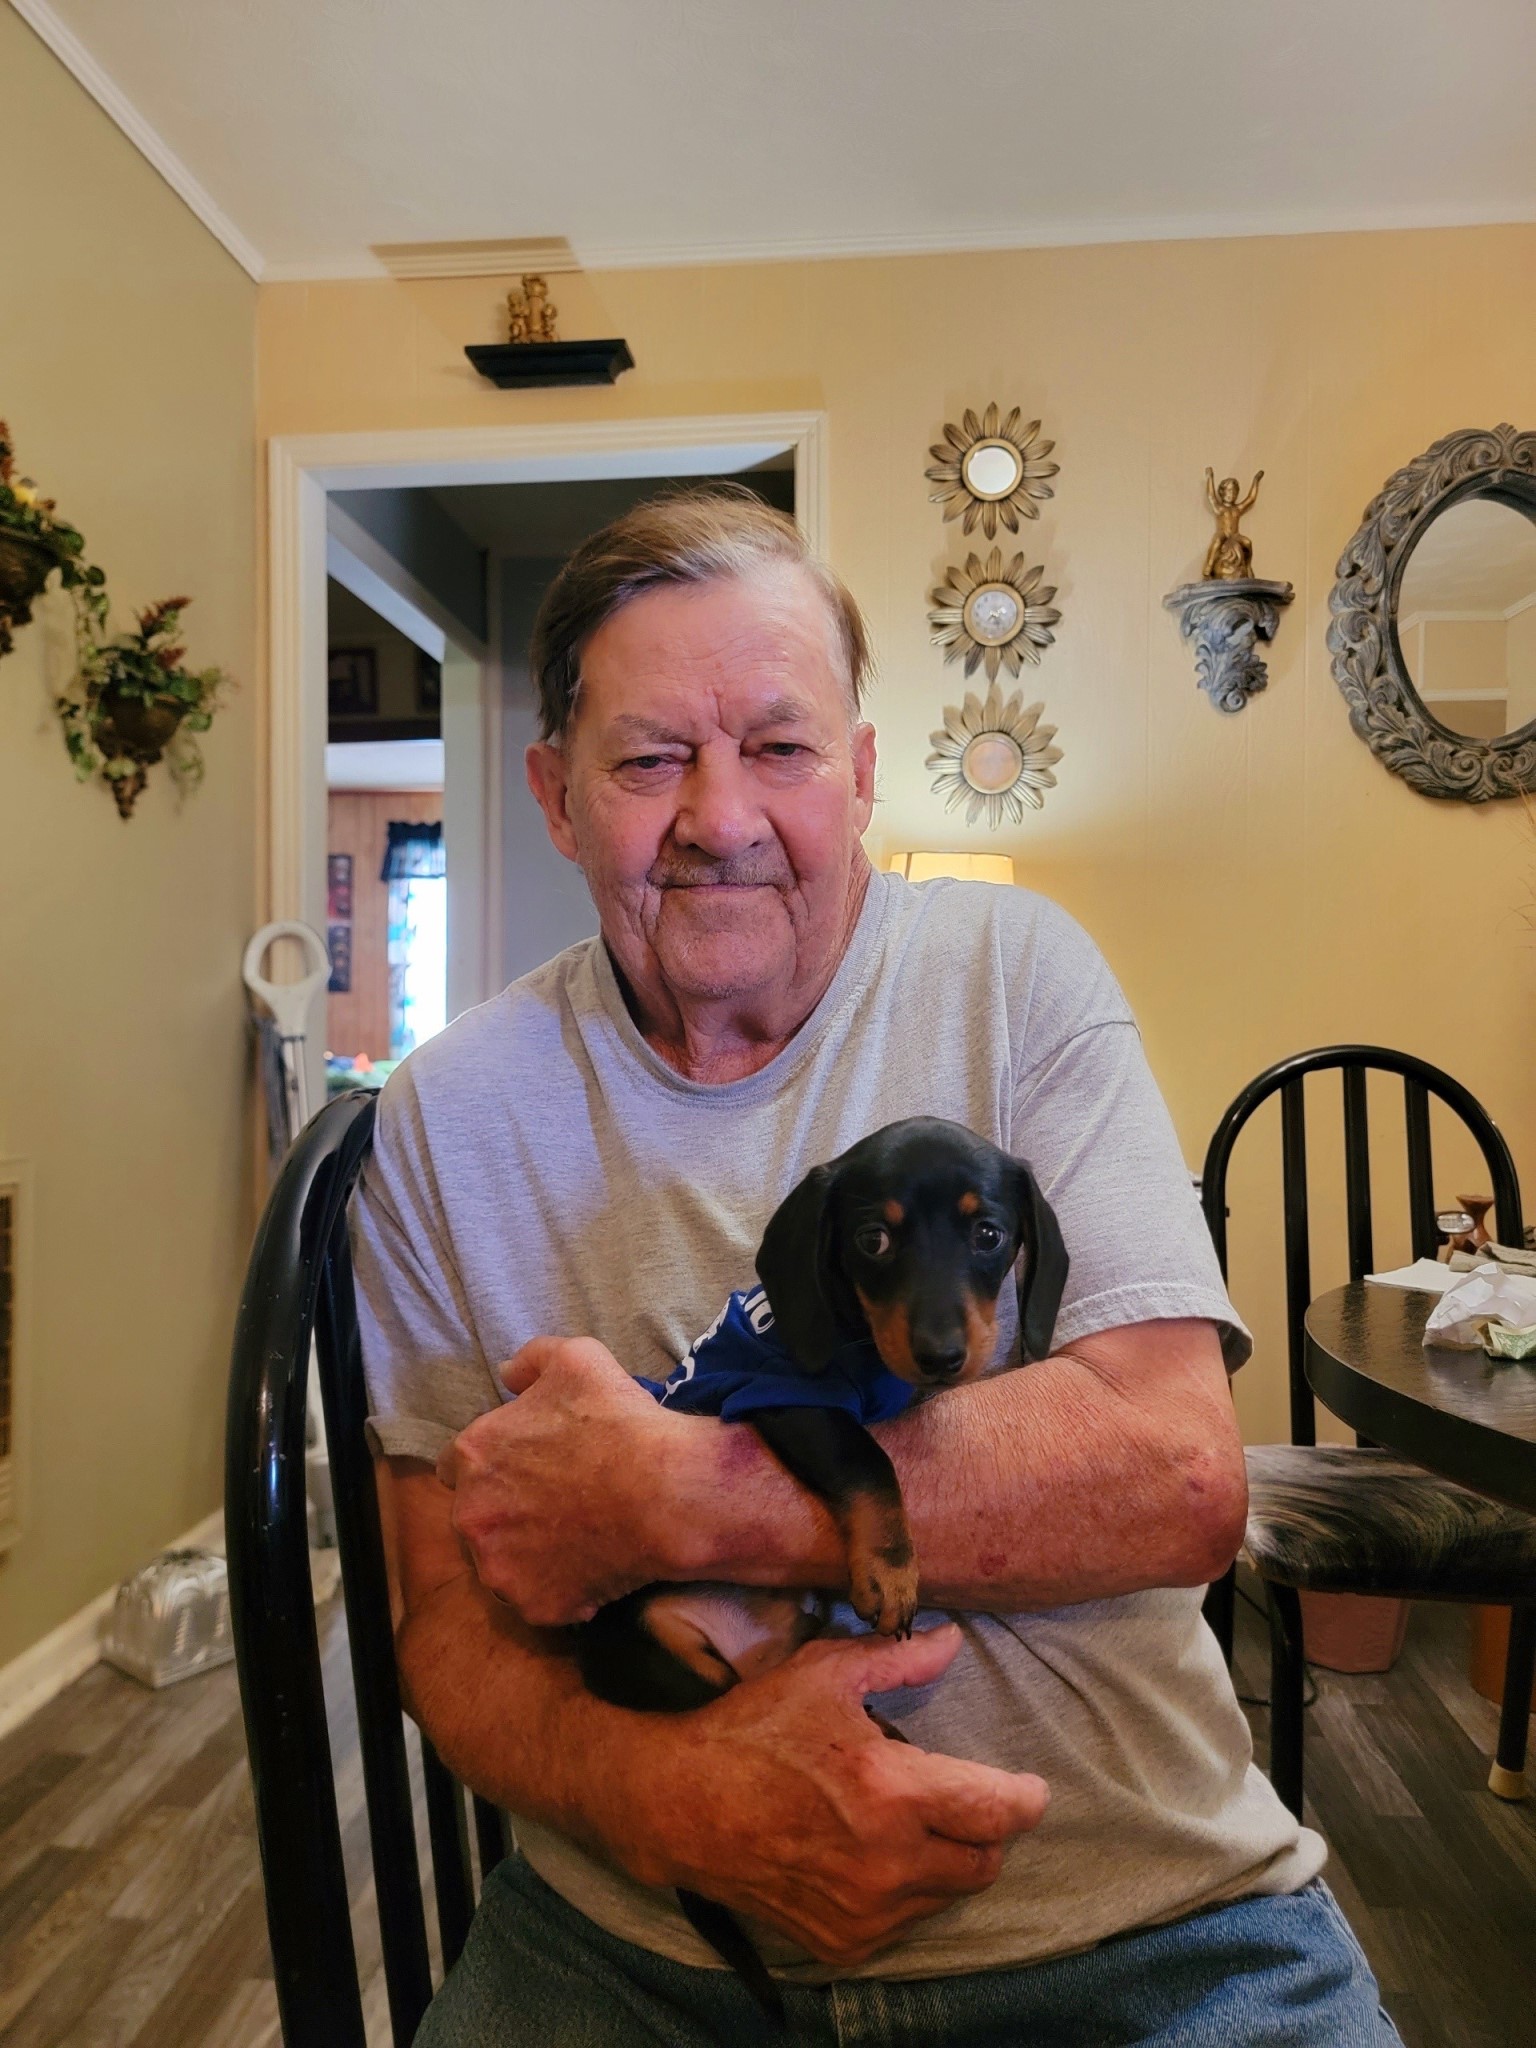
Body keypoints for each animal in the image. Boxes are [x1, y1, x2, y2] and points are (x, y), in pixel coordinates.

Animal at [576, 1116, 1069, 2016]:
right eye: (873, 1239)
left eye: (989, 1235)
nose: (942, 1356)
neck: (855, 1336)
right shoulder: (785, 1397)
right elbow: (870, 1461)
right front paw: (891, 1572)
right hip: (665, 1658)